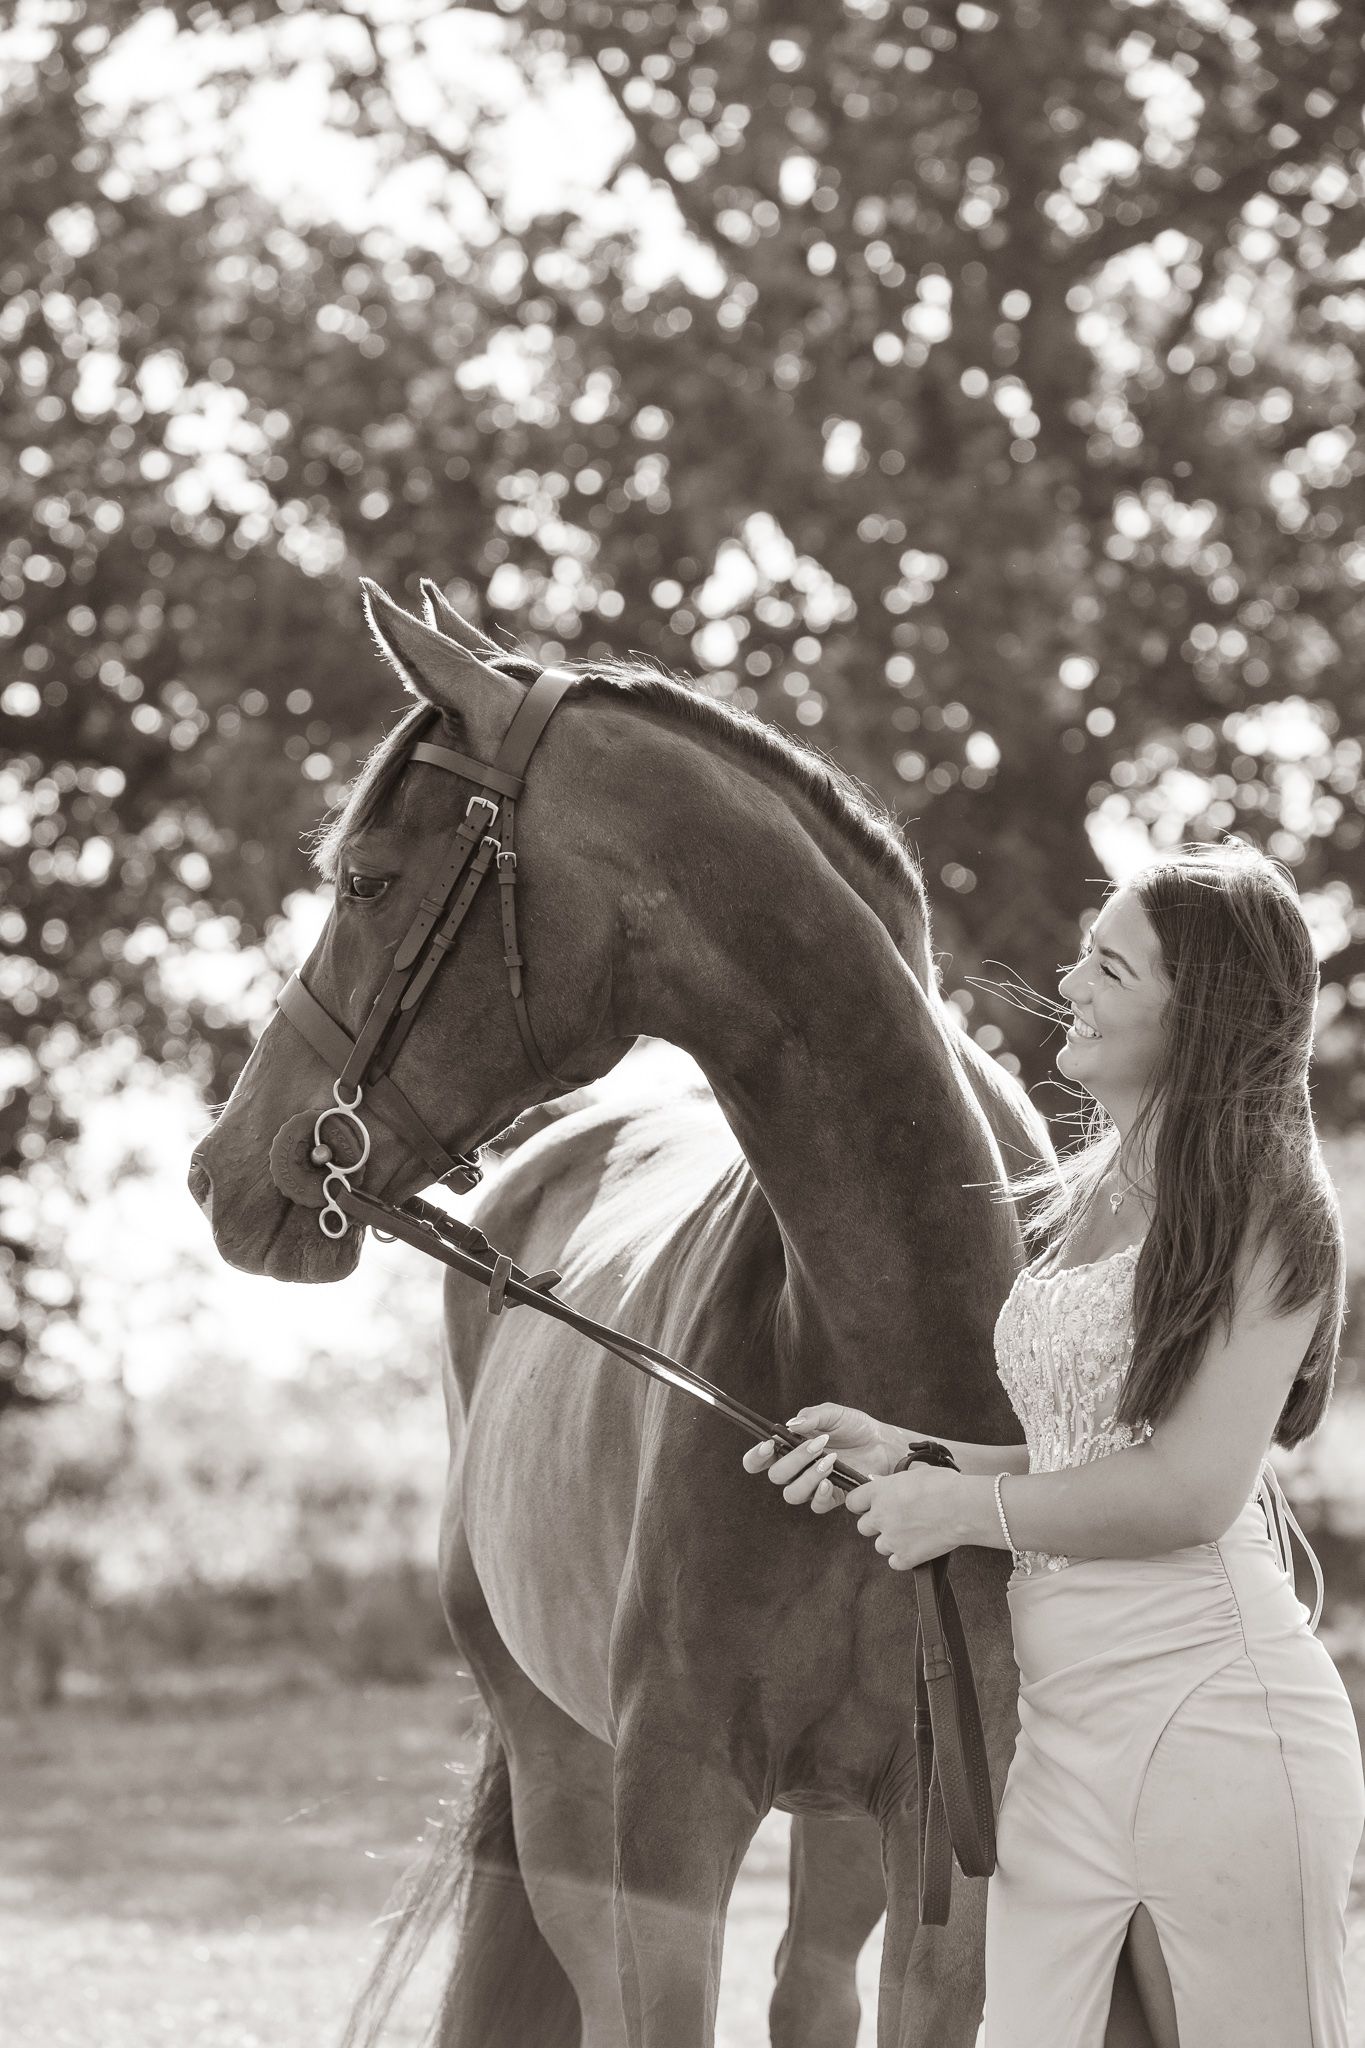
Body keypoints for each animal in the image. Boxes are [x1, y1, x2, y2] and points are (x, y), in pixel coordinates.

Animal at [189, 579, 1056, 2048]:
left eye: (369, 881)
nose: (224, 1167)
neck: (894, 1351)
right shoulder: (669, 1811)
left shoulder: (949, 1833)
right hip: (560, 1772)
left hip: (835, 1826)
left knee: (808, 1985)